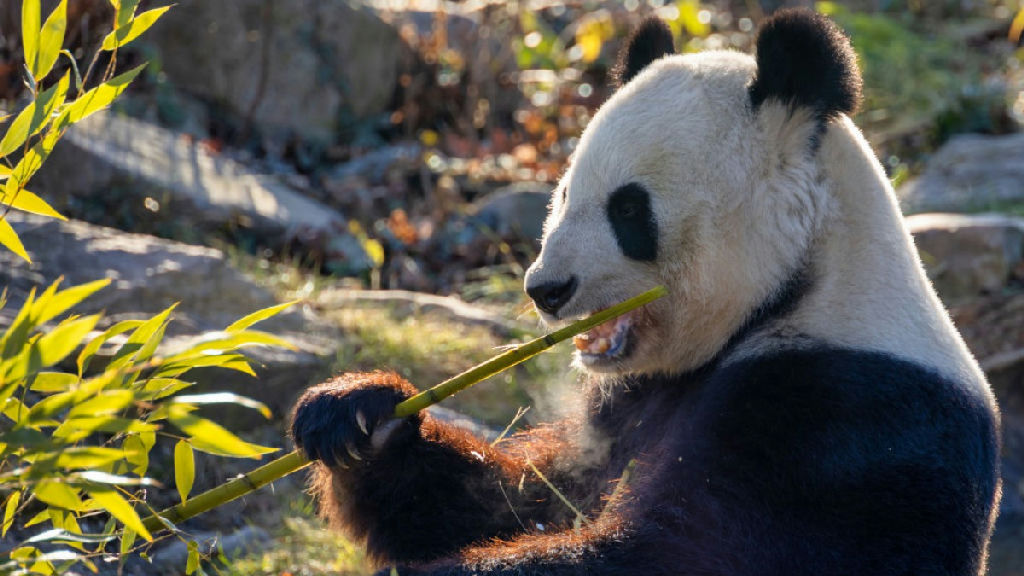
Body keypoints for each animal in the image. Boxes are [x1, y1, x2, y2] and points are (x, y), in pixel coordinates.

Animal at [291, 9, 1001, 575]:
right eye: (564, 194)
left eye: (629, 210)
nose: (545, 289)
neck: (802, 285)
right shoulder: (628, 400)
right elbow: (526, 498)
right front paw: (359, 416)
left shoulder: (840, 414)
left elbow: (682, 548)